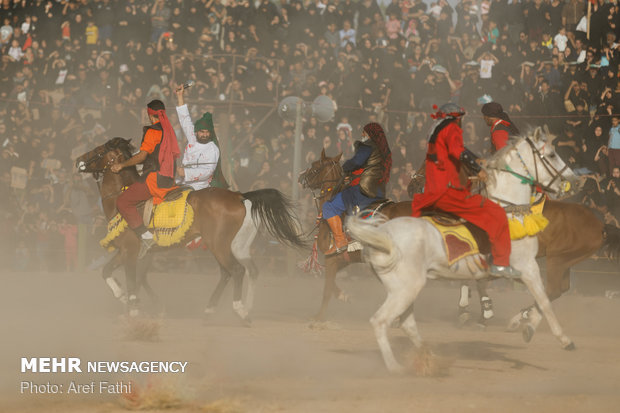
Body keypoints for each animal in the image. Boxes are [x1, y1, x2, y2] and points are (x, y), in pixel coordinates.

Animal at [76, 137, 306, 320]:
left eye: (99, 150)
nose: (78, 161)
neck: (120, 198)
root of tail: (239, 196)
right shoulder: (136, 253)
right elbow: (113, 273)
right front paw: (132, 299)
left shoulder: (130, 250)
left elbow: (132, 278)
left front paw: (132, 305)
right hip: (230, 246)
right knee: (233, 272)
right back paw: (212, 309)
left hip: (218, 244)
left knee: (236, 271)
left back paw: (239, 310)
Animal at [300, 150, 412, 320]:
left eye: (315, 167)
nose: (301, 177)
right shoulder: (343, 259)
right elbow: (331, 283)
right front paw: (343, 296)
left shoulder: (331, 258)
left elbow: (327, 288)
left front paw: (319, 317)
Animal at [348, 127, 576, 372]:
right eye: (551, 155)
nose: (573, 181)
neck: (509, 211)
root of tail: (383, 235)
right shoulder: (527, 267)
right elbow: (545, 301)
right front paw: (562, 339)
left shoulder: (520, 271)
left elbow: (544, 299)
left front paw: (525, 326)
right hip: (404, 289)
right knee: (380, 321)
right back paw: (395, 367)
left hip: (405, 289)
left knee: (406, 325)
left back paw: (431, 359)